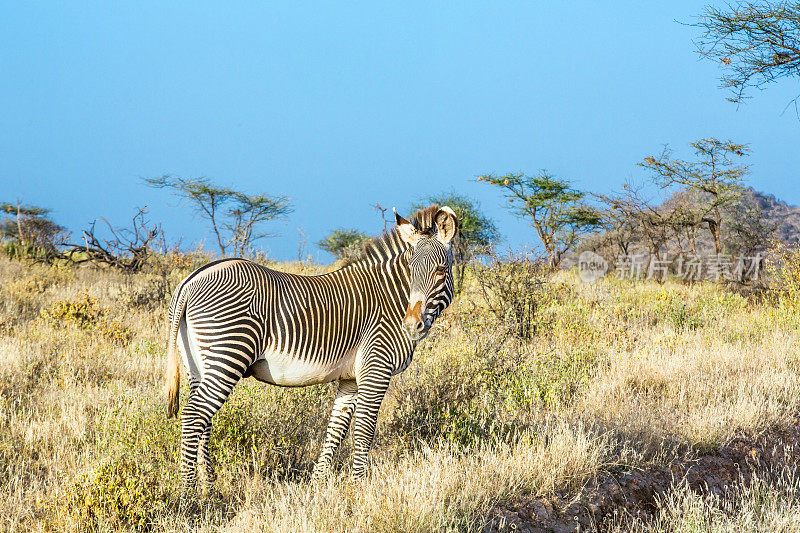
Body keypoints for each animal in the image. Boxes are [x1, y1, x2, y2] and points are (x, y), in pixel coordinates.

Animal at [164, 204, 456, 490]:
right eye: (411, 270)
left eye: (441, 271)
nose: (412, 325)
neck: (393, 299)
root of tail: (191, 280)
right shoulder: (376, 369)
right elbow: (364, 430)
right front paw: (359, 488)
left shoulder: (351, 378)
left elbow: (337, 429)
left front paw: (317, 486)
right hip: (228, 353)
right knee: (193, 415)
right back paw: (189, 492)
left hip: (197, 363)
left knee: (203, 421)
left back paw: (208, 485)